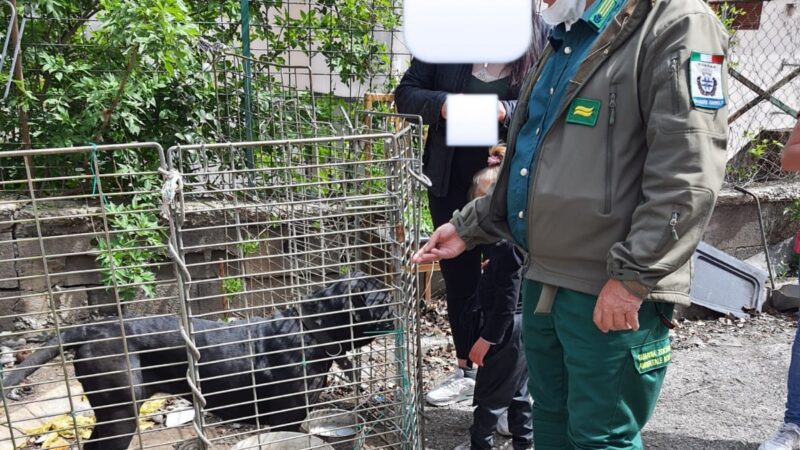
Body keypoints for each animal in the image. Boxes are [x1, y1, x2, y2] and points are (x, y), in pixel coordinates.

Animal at [3, 272, 394, 450]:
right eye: (384, 300)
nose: (400, 303)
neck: (313, 330)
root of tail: (91, 329)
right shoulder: (287, 418)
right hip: (120, 413)